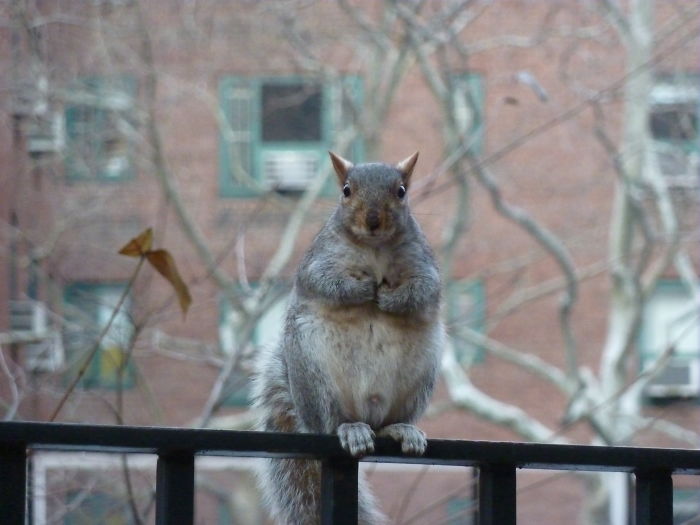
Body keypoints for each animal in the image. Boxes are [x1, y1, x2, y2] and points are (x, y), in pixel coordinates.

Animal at [252, 151, 444, 524]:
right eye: (346, 190)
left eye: (401, 191)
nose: (372, 219)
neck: (374, 248)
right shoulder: (317, 262)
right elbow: (326, 283)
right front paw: (364, 289)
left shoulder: (424, 264)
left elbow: (424, 290)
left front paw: (389, 299)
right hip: (317, 380)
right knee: (333, 423)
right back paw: (350, 430)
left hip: (419, 380)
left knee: (386, 425)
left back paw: (401, 430)